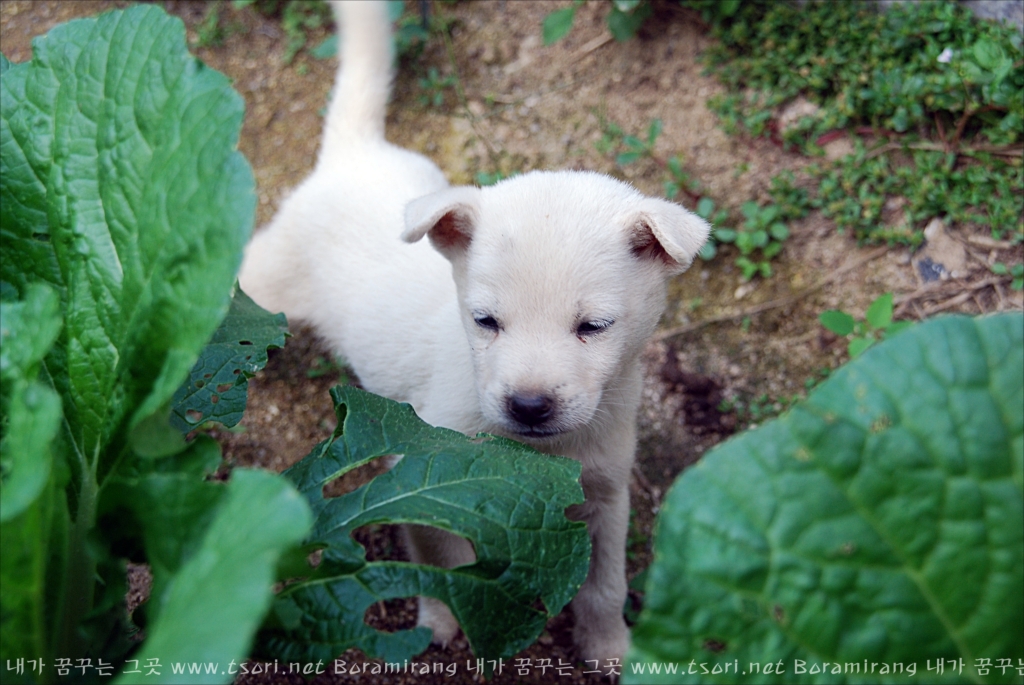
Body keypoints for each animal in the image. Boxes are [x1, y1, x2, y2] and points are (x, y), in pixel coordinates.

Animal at [239, 0, 708, 663]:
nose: (529, 406)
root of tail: (352, 154)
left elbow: (605, 583)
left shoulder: (606, 494)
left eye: (593, 326)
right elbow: (442, 561)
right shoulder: (421, 466)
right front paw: (438, 620)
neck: (540, 456)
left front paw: (609, 646)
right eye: (486, 321)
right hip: (264, 283)